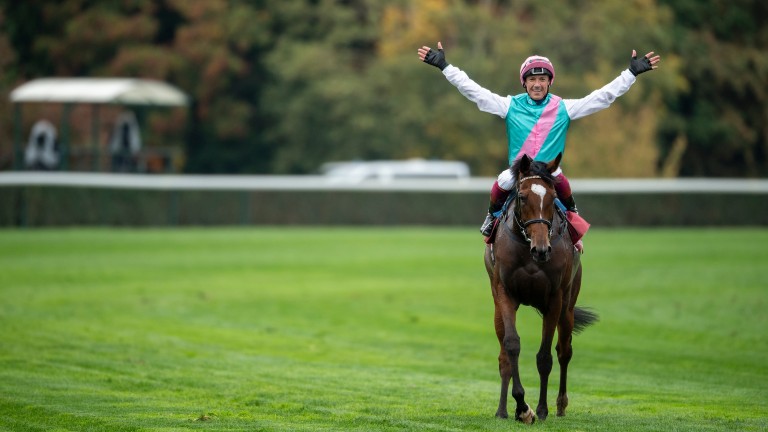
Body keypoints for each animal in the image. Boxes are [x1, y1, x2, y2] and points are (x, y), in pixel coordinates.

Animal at [484, 154, 596, 424]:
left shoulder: (554, 299)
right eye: (523, 197)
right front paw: (522, 407)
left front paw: (541, 409)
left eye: (553, 196)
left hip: (568, 305)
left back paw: (561, 404)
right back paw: (502, 410)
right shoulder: (505, 293)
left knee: (564, 351)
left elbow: (545, 356)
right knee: (503, 356)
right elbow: (511, 345)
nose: (542, 249)